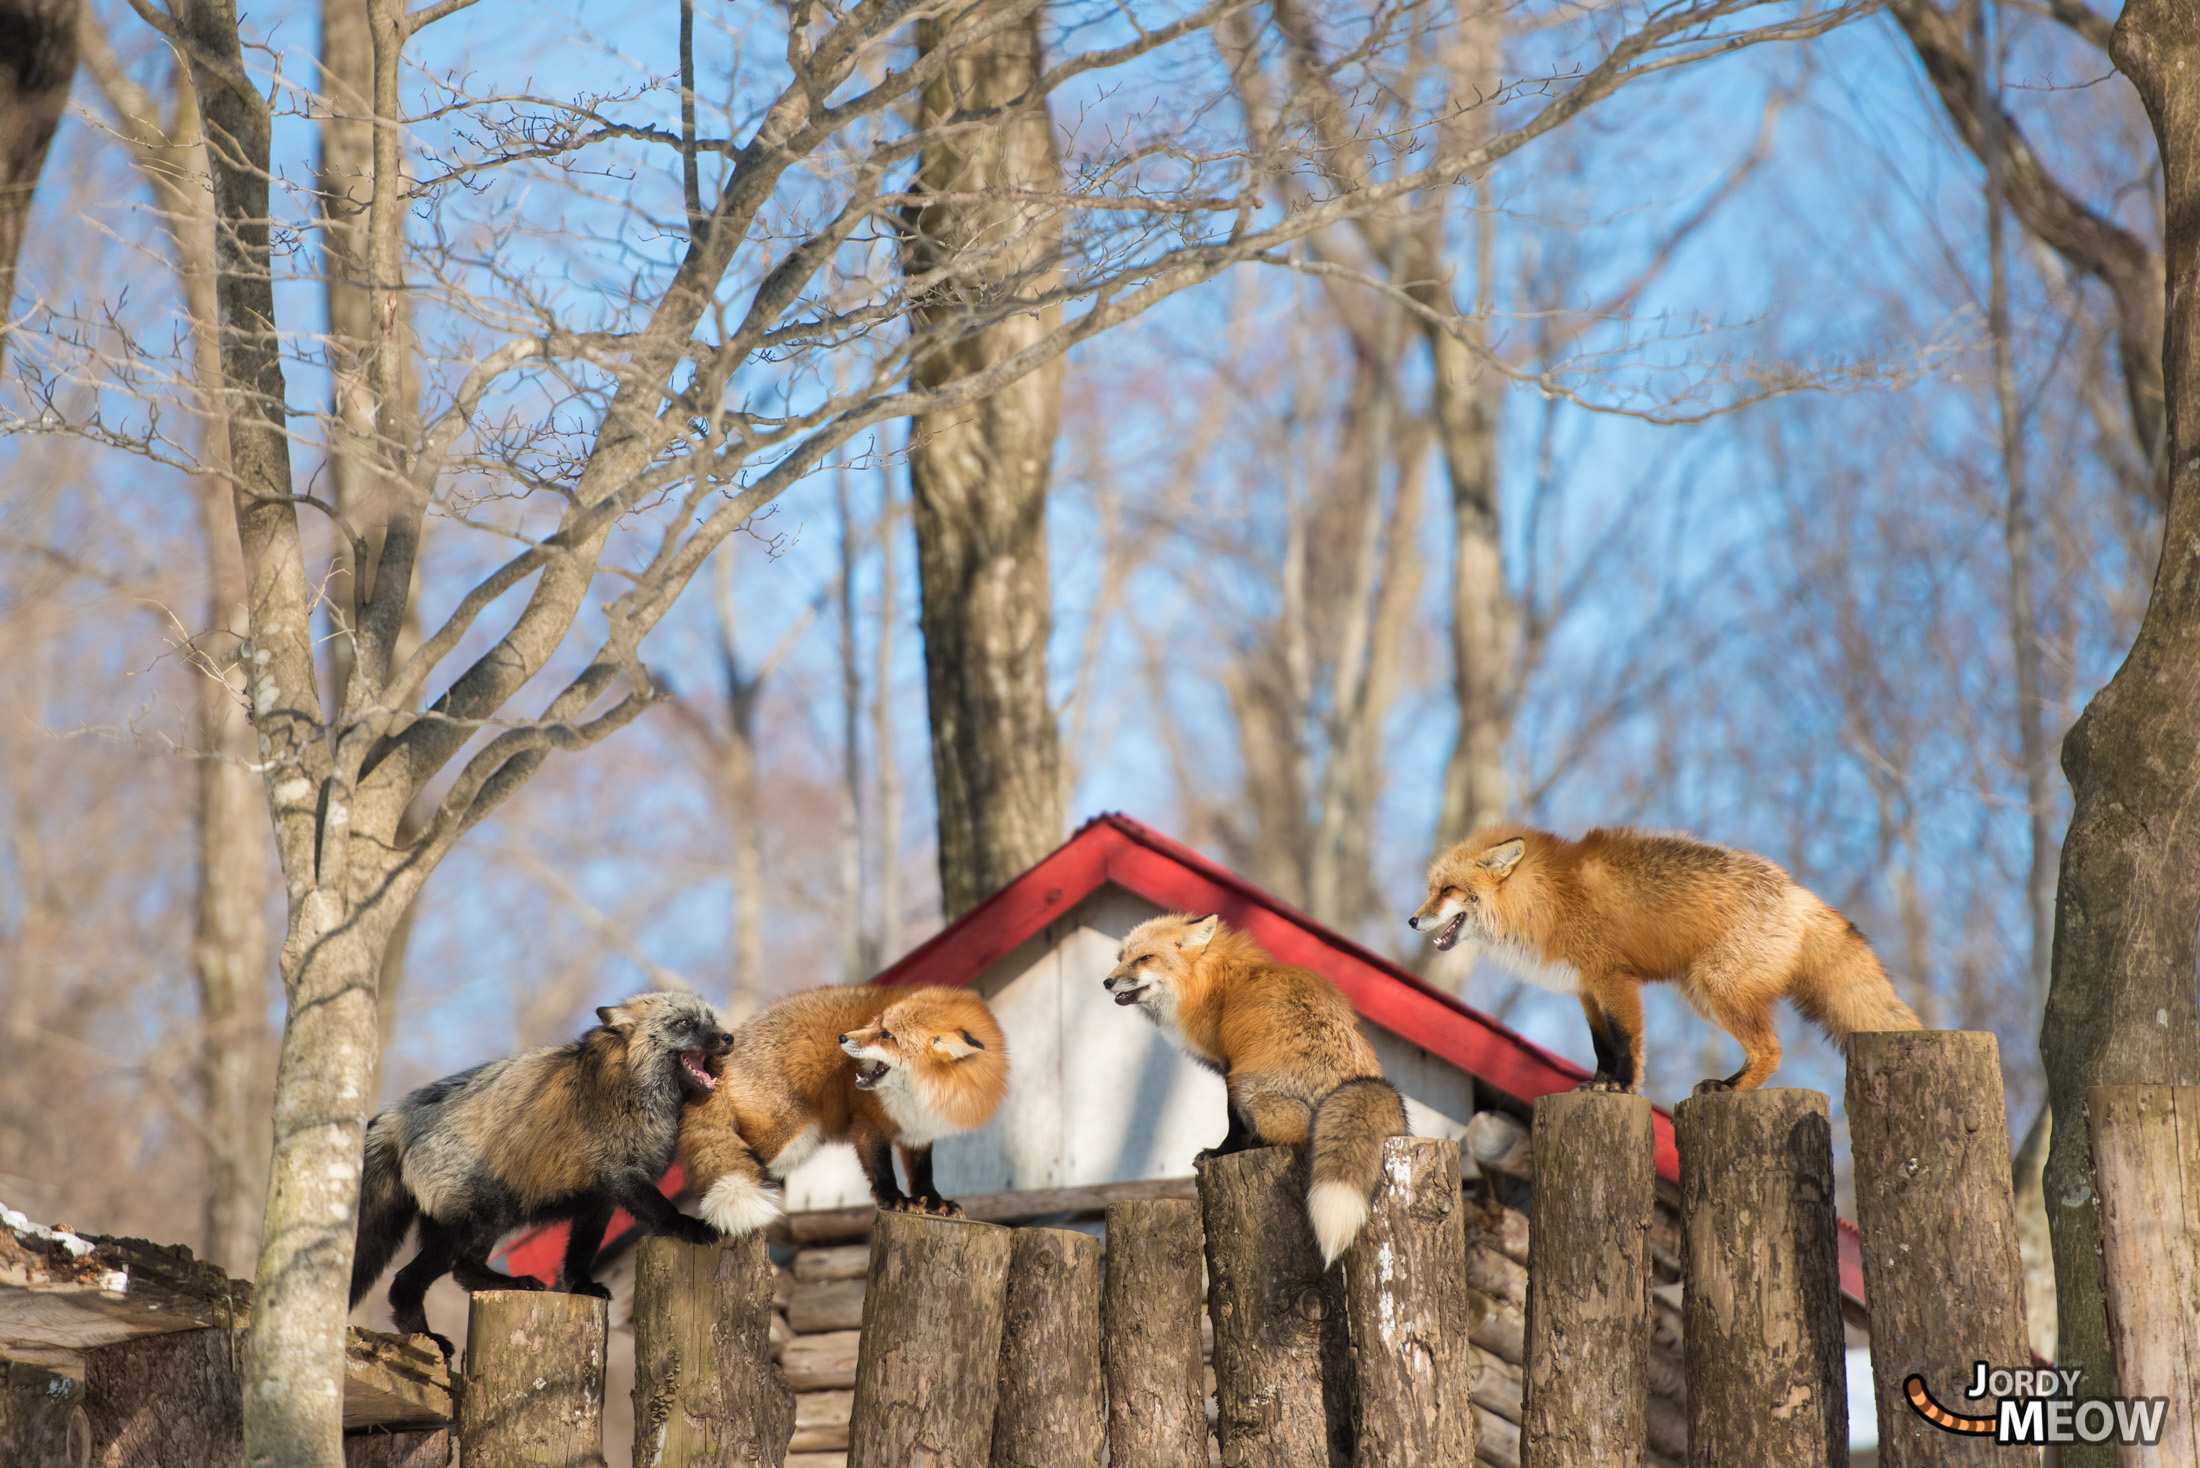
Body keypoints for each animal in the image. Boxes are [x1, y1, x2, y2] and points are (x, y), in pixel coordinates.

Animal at [677, 986, 1012, 1241]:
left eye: (886, 1035)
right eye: (876, 1024)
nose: (841, 1038)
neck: (925, 1095)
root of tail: (733, 1040)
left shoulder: (918, 1131)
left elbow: (922, 1173)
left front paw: (933, 1201)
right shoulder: (868, 1124)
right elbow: (881, 1169)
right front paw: (895, 1200)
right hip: (780, 1138)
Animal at [1100, 911, 1408, 1267]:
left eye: (1145, 958)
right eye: (1120, 958)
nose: (1107, 982)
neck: (1209, 986)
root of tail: (1361, 1083)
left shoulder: (1230, 1069)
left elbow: (1232, 1122)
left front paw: (1222, 1151)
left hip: (1249, 1087)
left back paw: (1259, 1143)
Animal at [1416, 823, 1918, 1096]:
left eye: (1448, 890)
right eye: (1431, 889)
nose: (1412, 920)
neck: (1546, 900)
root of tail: (1800, 893)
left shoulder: (1615, 980)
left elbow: (1627, 1042)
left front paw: (1624, 1087)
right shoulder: (1586, 989)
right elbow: (1601, 1045)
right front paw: (1599, 1084)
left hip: (1718, 987)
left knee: (1770, 1049)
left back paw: (1728, 1088)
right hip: (1703, 993)